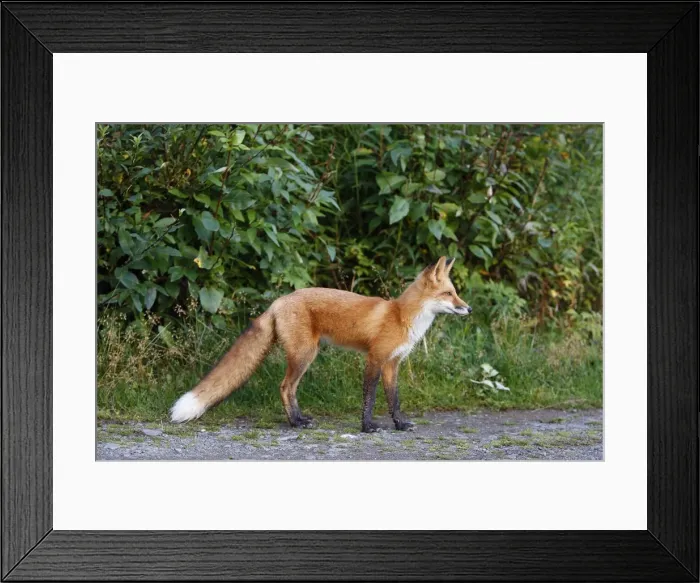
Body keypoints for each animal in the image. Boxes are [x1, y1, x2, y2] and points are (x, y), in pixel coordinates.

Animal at [170, 255, 472, 432]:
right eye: (449, 294)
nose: (468, 309)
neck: (400, 315)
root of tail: (279, 301)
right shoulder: (374, 359)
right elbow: (370, 398)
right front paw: (367, 426)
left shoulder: (392, 364)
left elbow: (393, 399)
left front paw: (399, 424)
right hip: (305, 354)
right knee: (285, 387)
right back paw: (295, 423)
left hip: (306, 354)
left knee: (289, 389)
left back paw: (298, 419)